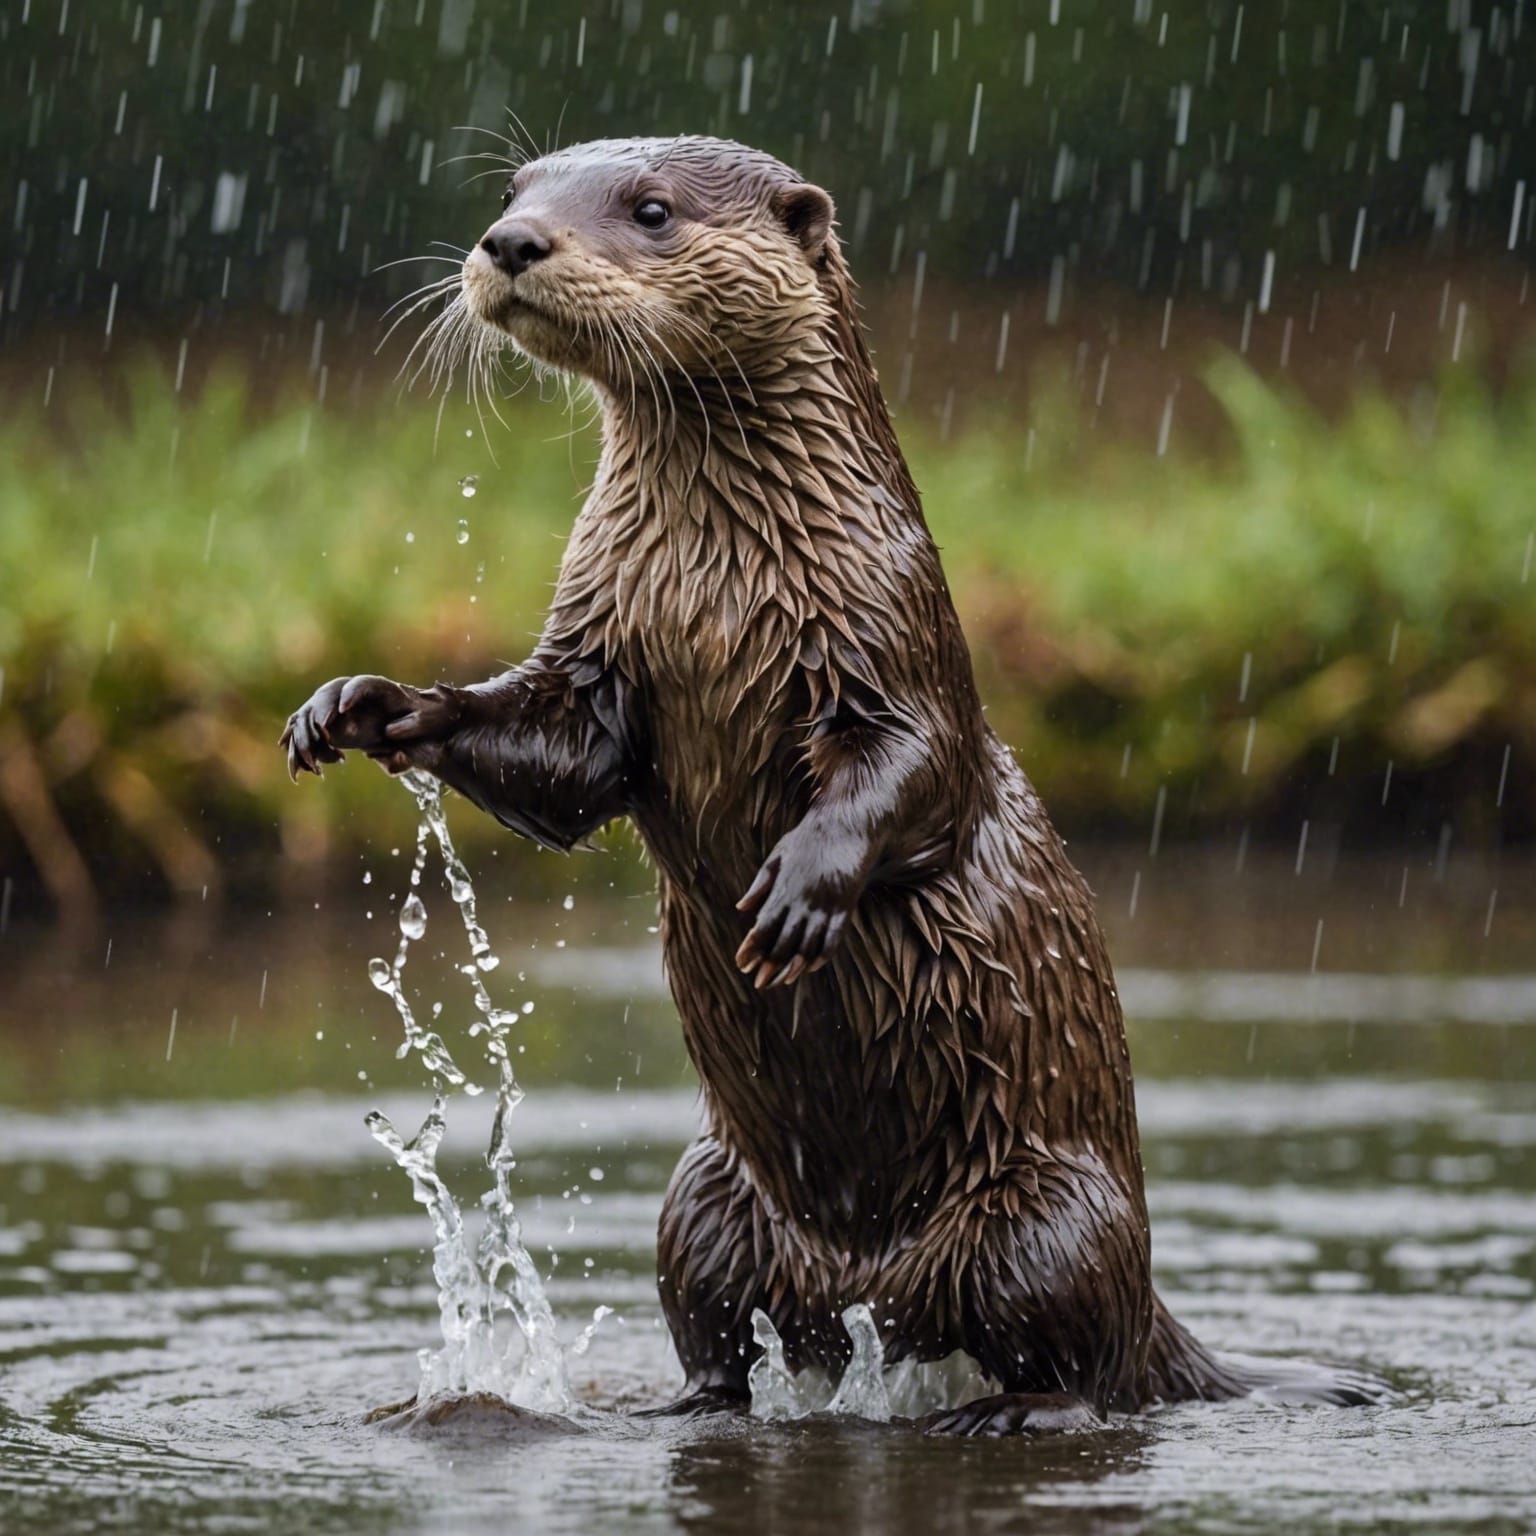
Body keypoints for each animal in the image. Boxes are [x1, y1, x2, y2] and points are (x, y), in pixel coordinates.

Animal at [282, 136, 1377, 1434]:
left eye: (650, 210)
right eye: (513, 194)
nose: (511, 245)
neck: (712, 596)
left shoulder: (891, 635)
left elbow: (918, 774)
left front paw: (800, 890)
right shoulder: (598, 658)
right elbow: (553, 768)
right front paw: (366, 705)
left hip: (1045, 1221)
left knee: (1086, 1366)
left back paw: (1005, 1410)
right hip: (705, 1201)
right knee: (724, 1330)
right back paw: (687, 1404)